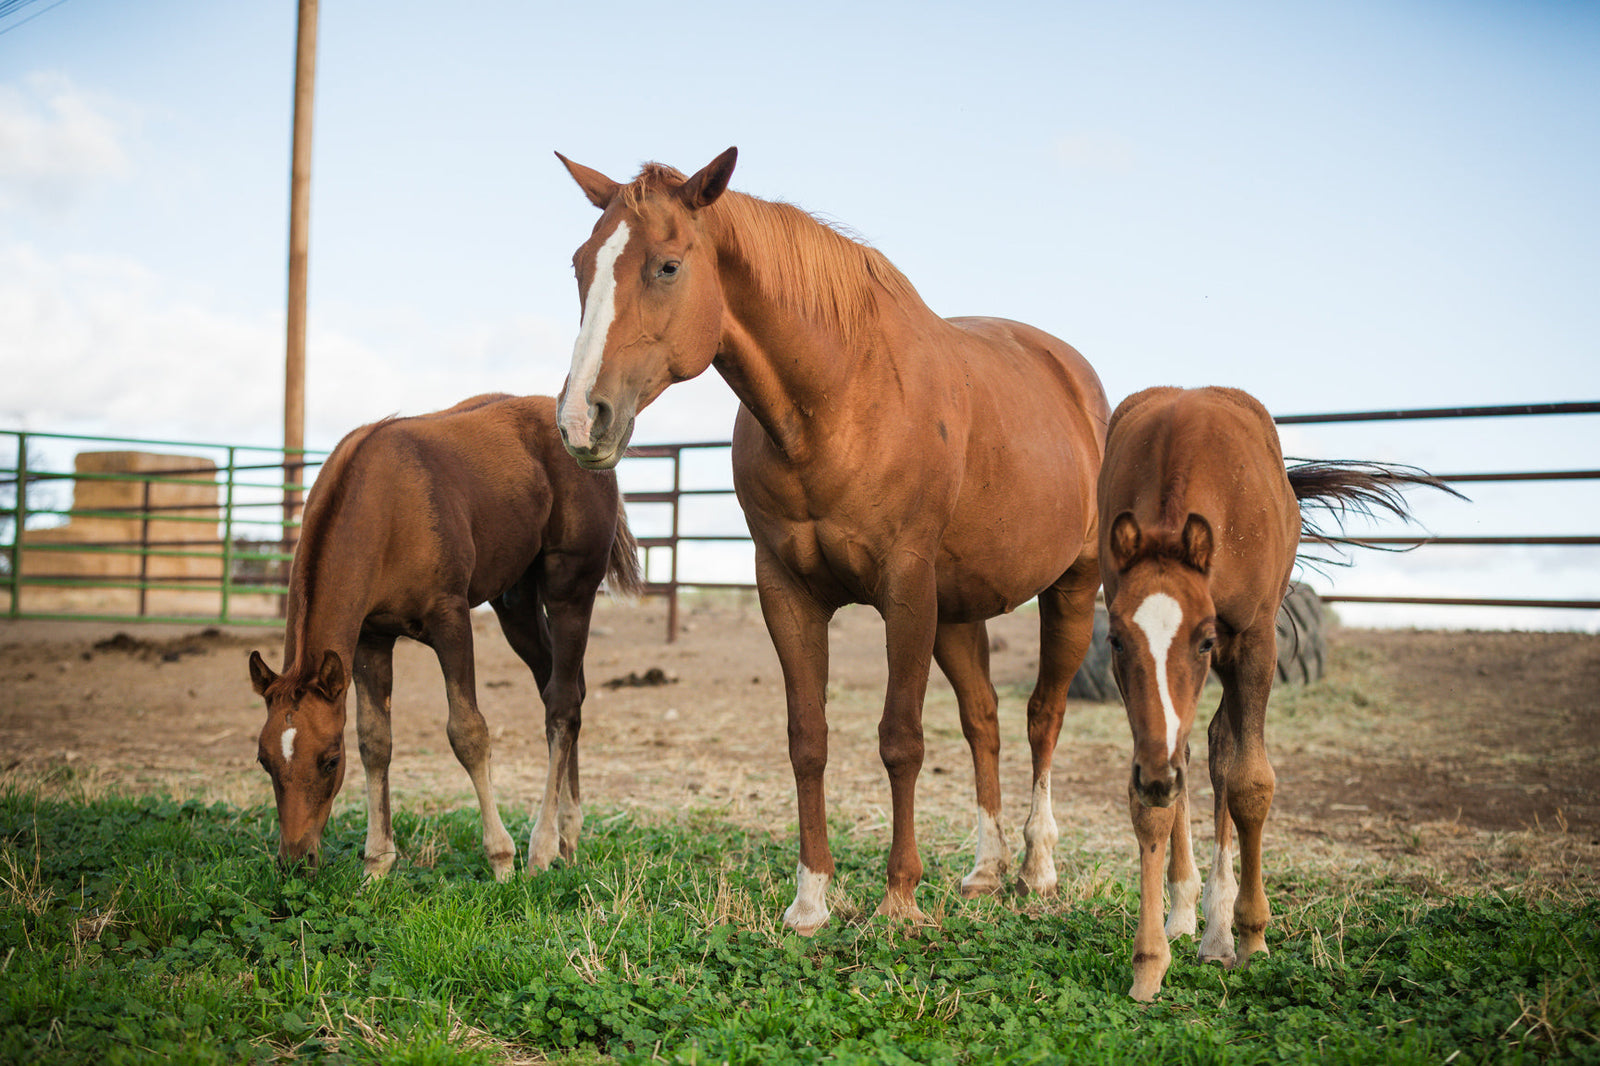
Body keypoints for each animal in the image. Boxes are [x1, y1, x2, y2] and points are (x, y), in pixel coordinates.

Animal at [248, 393, 643, 879]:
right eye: (264, 761)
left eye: (330, 760)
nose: (295, 861)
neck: (385, 505)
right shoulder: (371, 639)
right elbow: (375, 741)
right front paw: (376, 865)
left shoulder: (450, 622)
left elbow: (468, 733)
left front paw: (501, 860)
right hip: (516, 604)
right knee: (562, 688)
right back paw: (568, 835)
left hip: (571, 589)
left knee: (563, 702)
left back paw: (543, 846)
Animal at [552, 147, 1109, 931]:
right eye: (581, 265)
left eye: (666, 266)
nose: (581, 420)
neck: (839, 399)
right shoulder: (787, 590)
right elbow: (807, 739)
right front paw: (810, 899)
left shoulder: (904, 589)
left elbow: (900, 739)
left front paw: (899, 899)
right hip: (956, 612)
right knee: (984, 720)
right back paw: (985, 869)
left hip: (1071, 590)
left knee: (1043, 717)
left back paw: (1037, 866)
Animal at [1098, 385, 1459, 999]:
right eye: (1117, 640)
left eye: (1203, 640)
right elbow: (1153, 801)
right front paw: (1149, 963)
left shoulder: (1254, 644)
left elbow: (1249, 783)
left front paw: (1250, 936)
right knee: (1193, 750)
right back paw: (1188, 913)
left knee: (1220, 747)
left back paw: (1218, 932)